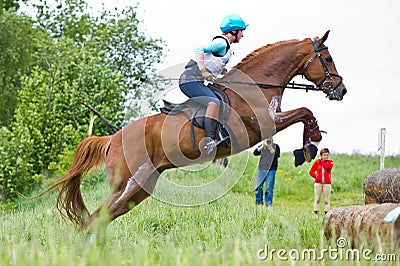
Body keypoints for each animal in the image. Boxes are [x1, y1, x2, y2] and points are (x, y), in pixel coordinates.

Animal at [35, 30, 346, 236]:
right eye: (328, 58)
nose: (342, 90)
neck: (258, 84)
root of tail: (113, 138)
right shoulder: (263, 124)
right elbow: (304, 111)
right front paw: (310, 144)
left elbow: (303, 112)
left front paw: (307, 145)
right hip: (127, 182)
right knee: (96, 218)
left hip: (141, 187)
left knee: (101, 218)